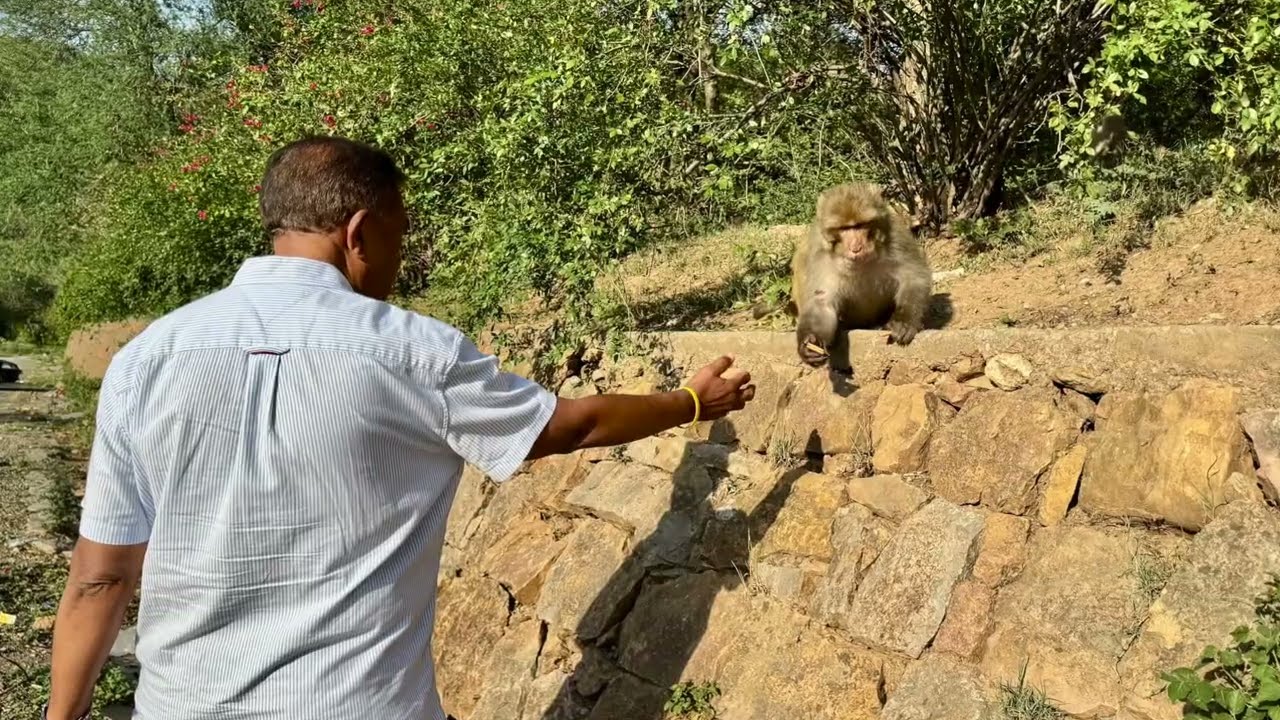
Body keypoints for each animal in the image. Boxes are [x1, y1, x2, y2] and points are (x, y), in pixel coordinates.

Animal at [788, 183, 932, 367]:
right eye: (844, 228)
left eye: (860, 225)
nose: (856, 247)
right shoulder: (819, 255)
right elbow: (821, 303)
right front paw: (809, 343)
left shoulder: (896, 237)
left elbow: (913, 278)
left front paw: (904, 321)